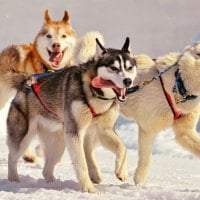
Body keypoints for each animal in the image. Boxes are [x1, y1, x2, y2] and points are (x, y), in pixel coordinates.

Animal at [6, 37, 138, 192]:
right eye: (114, 68)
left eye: (129, 68)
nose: (128, 81)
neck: (93, 92)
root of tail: (27, 81)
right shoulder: (75, 132)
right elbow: (81, 164)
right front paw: (89, 189)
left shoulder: (104, 130)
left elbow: (123, 148)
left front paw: (121, 172)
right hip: (24, 137)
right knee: (12, 158)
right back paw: (14, 180)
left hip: (58, 144)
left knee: (46, 169)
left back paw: (52, 183)